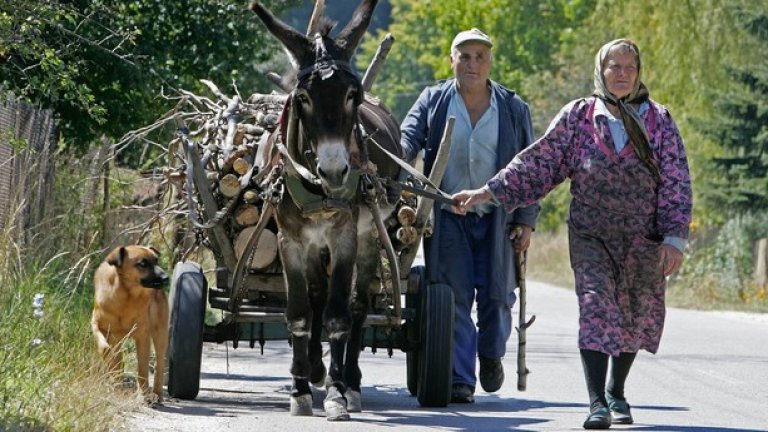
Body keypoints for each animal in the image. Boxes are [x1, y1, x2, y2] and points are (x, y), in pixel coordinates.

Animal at [91, 246, 170, 402]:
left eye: (156, 261)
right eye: (143, 264)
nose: (166, 278)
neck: (125, 297)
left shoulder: (143, 336)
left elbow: (142, 368)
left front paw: (143, 394)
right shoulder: (97, 324)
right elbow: (105, 348)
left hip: (160, 332)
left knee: (160, 363)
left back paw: (156, 393)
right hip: (117, 339)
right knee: (117, 359)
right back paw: (116, 383)